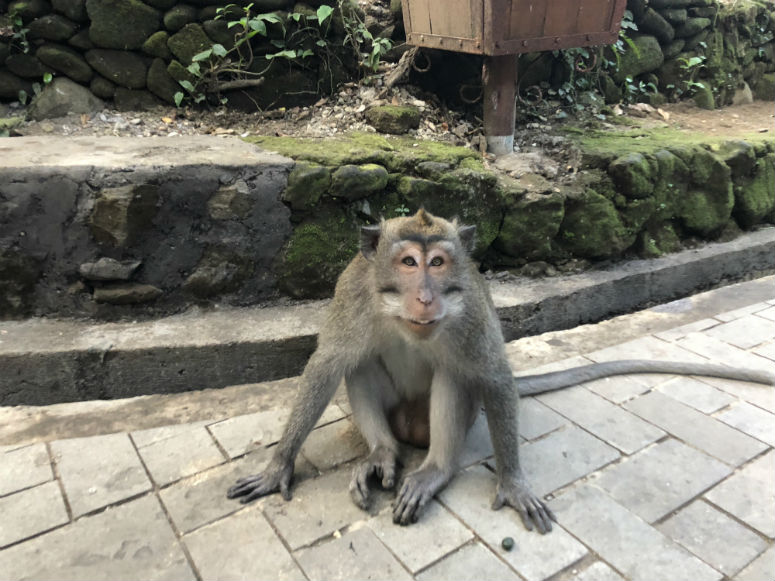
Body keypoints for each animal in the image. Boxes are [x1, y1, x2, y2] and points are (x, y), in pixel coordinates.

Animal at [229, 210, 775, 536]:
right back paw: (382, 453)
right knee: (359, 365)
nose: (425, 296)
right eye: (407, 262)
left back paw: (435, 469)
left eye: (438, 262)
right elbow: (329, 363)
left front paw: (513, 483)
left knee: (456, 378)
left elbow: (492, 376)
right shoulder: (353, 293)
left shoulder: (470, 308)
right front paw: (278, 467)